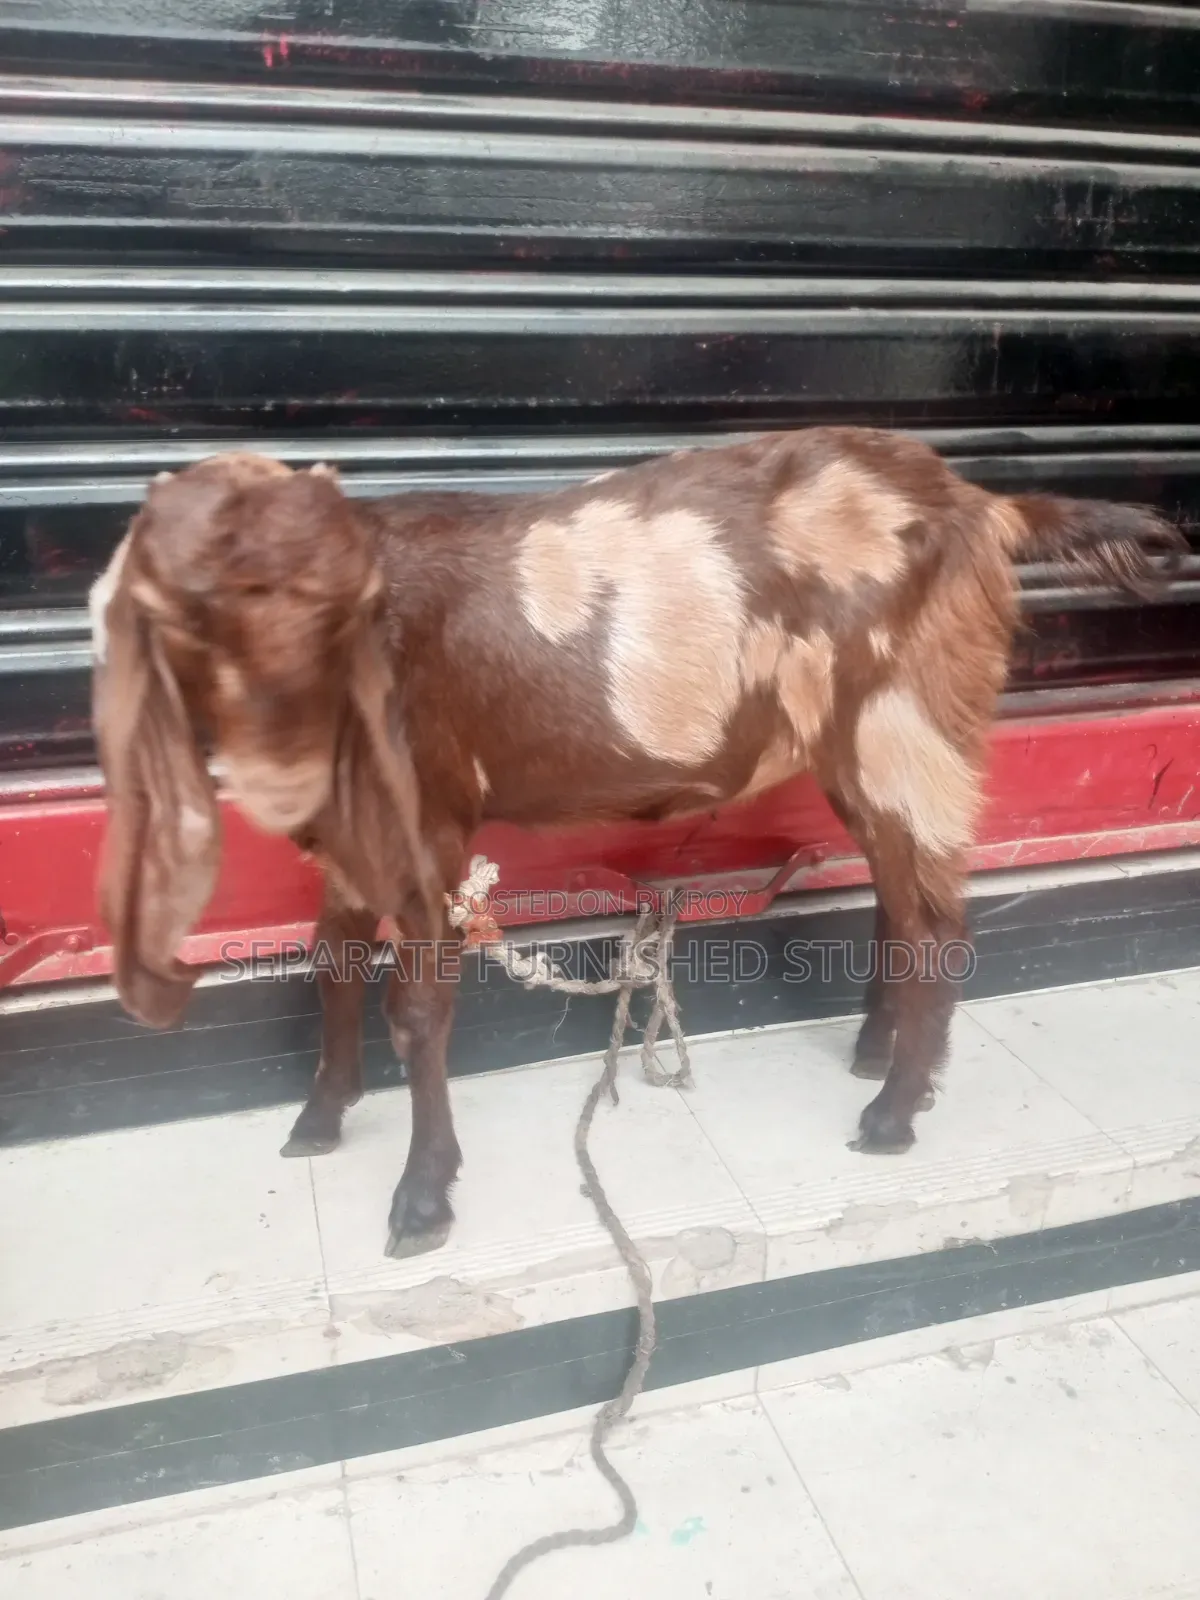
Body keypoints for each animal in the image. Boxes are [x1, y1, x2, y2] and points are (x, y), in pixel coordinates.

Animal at [89, 430, 1183, 1257]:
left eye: (315, 604)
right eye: (178, 614)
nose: (275, 766)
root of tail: (983, 506)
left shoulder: (429, 815)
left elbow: (417, 1009)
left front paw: (423, 1196)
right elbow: (331, 961)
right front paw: (322, 1116)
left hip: (907, 719)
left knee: (939, 920)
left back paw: (894, 1113)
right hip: (860, 741)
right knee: (897, 893)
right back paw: (876, 1054)